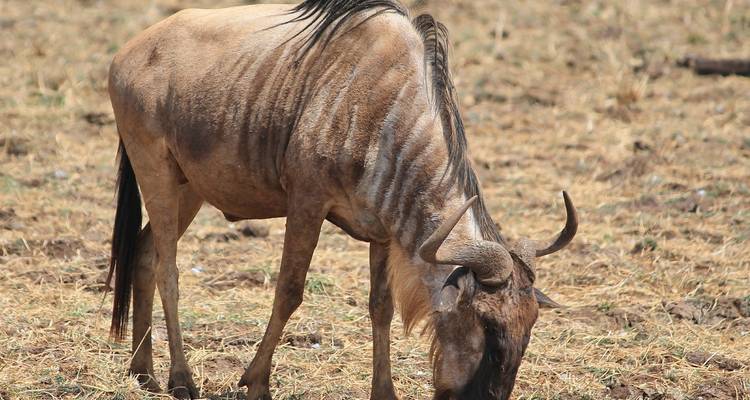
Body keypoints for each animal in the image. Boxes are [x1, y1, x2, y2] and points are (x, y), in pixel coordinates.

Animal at [106, 0, 578, 399]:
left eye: (529, 327)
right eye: (487, 325)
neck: (382, 109)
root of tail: (128, 52)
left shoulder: (384, 232)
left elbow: (381, 307)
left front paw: (384, 393)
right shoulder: (306, 204)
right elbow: (289, 291)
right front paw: (256, 382)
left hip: (189, 187)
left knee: (145, 254)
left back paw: (143, 373)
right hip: (155, 171)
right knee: (169, 270)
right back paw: (180, 380)